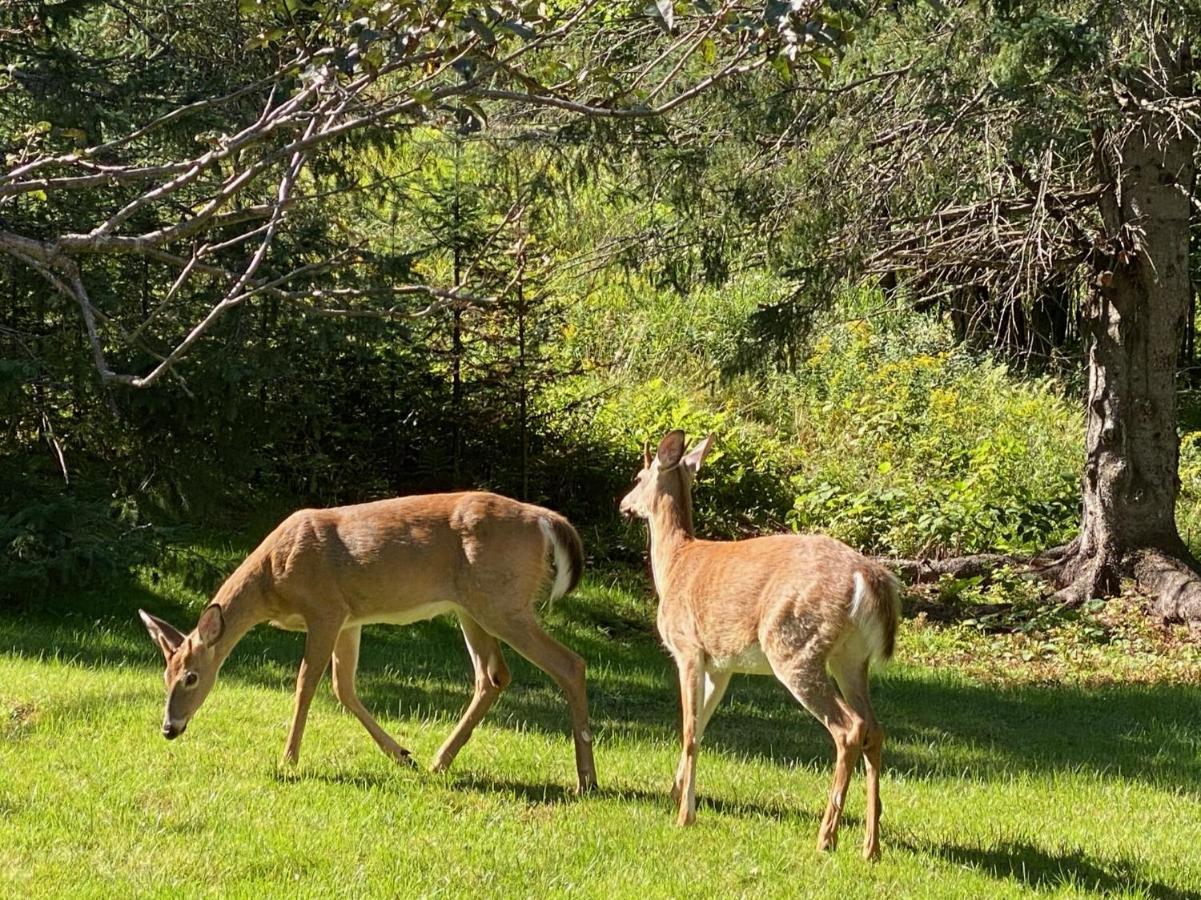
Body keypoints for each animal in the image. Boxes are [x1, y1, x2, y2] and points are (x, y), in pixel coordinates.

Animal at [138, 487, 598, 788]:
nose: (169, 728)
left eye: (191, 677)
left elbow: (306, 683)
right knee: (493, 675)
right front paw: (403, 755)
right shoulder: (350, 619)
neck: (273, 576)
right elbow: (343, 687)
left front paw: (288, 761)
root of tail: (545, 520)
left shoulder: (325, 609)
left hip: (502, 602)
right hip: (472, 607)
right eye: (165, 676)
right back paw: (438, 762)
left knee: (570, 663)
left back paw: (586, 781)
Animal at [624, 432, 898, 860]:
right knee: (875, 728)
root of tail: (867, 577)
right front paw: (674, 794)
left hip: (794, 645)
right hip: (851, 657)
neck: (674, 564)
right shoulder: (721, 664)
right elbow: (702, 724)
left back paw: (827, 837)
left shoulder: (687, 648)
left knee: (849, 728)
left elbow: (688, 730)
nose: (623, 504)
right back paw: (871, 846)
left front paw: (684, 816)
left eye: (638, 477)